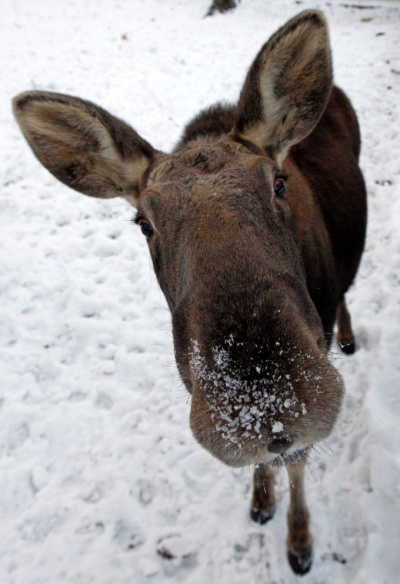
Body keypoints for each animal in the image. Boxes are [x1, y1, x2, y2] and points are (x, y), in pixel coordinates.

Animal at [14, 10, 368, 580]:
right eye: (144, 223)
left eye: (278, 183)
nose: (263, 402)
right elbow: (267, 470)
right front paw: (260, 502)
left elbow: (296, 465)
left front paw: (300, 543)